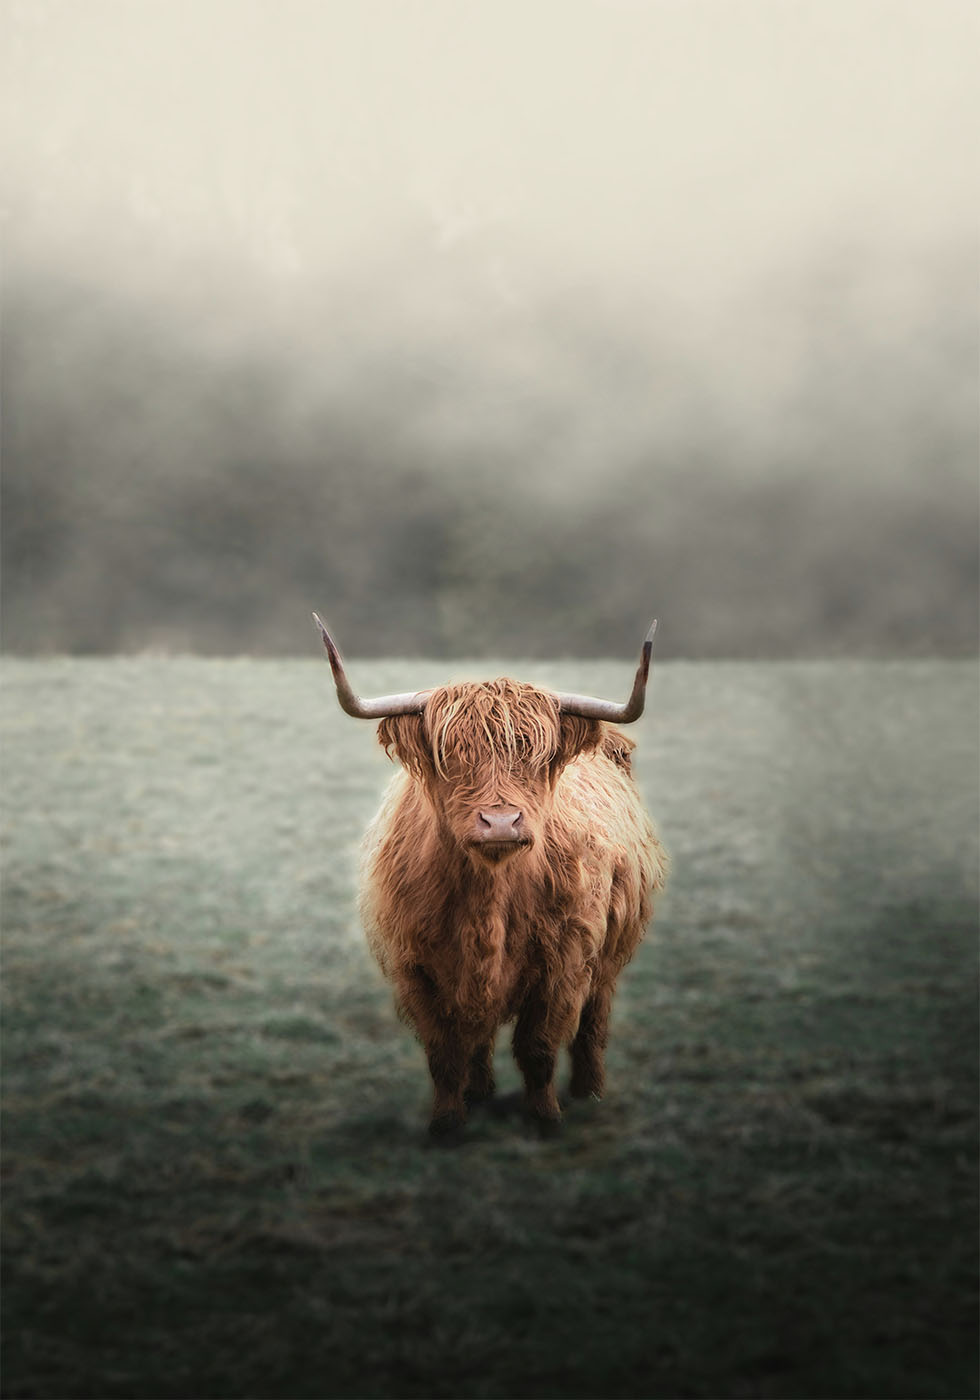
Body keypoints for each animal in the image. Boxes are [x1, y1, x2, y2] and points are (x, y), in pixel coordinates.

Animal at [314, 614, 667, 1140]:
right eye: (451, 757)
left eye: (537, 758)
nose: (501, 822)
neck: (489, 897)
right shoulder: (416, 968)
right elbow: (444, 1052)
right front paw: (446, 1123)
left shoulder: (564, 963)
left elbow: (539, 1047)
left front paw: (545, 1117)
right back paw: (479, 1091)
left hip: (608, 957)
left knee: (593, 1022)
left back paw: (589, 1091)